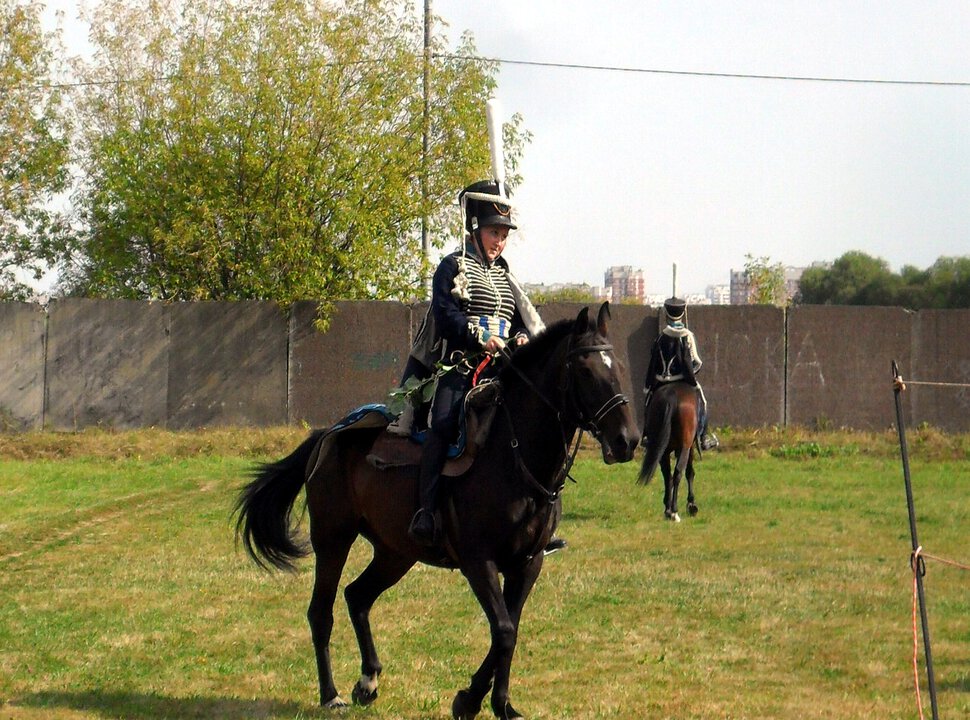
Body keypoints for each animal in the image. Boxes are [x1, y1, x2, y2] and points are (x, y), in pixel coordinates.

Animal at [234, 302, 640, 720]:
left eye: (620, 369)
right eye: (586, 371)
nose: (627, 441)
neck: (512, 456)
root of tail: (327, 435)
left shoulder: (528, 563)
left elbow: (510, 630)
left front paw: (497, 703)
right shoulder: (479, 562)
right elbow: (504, 631)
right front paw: (474, 700)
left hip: (395, 552)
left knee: (358, 596)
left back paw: (368, 681)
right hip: (333, 539)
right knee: (321, 611)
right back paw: (331, 694)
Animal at [636, 380, 696, 520]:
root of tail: (671, 396)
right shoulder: (689, 446)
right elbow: (689, 472)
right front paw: (691, 504)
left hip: (662, 449)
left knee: (667, 475)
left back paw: (669, 510)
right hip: (684, 447)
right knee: (678, 473)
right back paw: (674, 511)